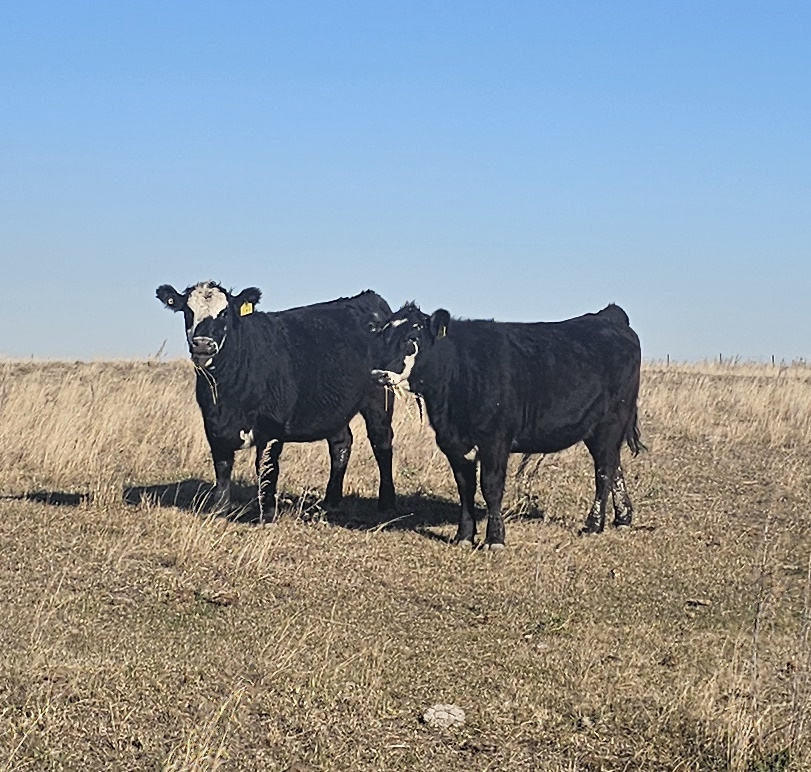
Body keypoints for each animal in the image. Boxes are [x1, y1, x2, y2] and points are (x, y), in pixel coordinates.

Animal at [156, 281, 396, 519]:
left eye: (224, 313)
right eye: (188, 311)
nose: (203, 344)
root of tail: (369, 298)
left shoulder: (272, 424)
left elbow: (266, 467)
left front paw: (268, 513)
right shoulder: (213, 422)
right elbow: (222, 464)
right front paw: (220, 509)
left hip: (380, 397)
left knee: (381, 442)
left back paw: (386, 502)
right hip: (335, 407)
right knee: (341, 444)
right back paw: (331, 502)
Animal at [371, 302, 643, 547]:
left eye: (412, 337)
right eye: (383, 336)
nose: (378, 373)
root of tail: (607, 317)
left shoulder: (495, 441)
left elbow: (490, 487)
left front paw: (495, 539)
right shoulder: (454, 444)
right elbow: (465, 488)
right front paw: (464, 536)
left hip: (611, 421)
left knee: (604, 471)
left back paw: (594, 525)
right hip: (598, 429)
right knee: (614, 466)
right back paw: (622, 518)